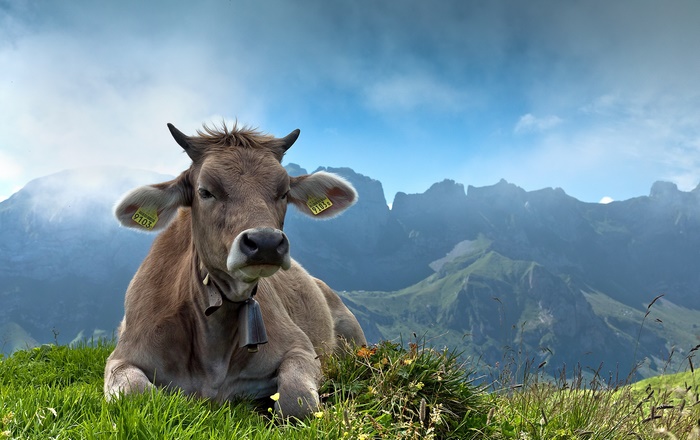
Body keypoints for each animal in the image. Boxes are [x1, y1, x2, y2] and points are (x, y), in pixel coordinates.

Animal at [104, 121, 366, 419]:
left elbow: (296, 400)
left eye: (284, 192)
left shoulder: (300, 347)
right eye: (205, 191)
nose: (266, 242)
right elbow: (136, 396)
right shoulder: (122, 356)